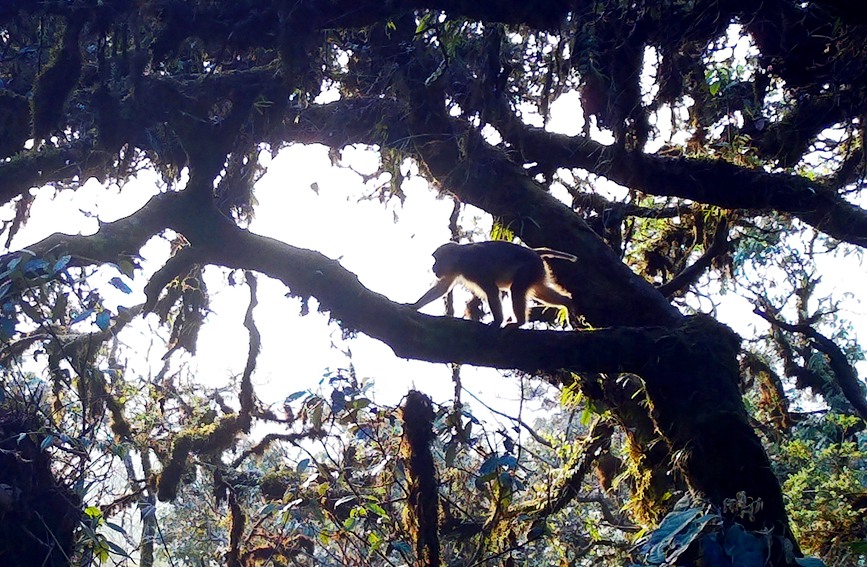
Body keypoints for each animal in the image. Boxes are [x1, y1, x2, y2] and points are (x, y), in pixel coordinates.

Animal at [412, 241, 576, 328]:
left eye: (436, 260)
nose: (433, 267)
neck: (460, 258)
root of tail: (534, 252)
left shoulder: (472, 266)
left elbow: (491, 290)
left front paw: (497, 322)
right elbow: (442, 288)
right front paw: (414, 306)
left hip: (530, 267)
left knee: (516, 289)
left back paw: (520, 322)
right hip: (537, 270)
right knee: (539, 290)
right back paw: (567, 303)